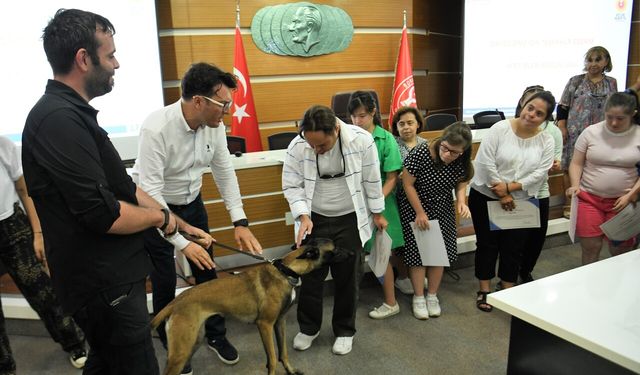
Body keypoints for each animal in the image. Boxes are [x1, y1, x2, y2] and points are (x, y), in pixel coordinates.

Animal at [150, 238, 350, 375]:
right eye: (336, 249)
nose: (353, 253)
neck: (285, 271)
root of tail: (175, 301)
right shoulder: (265, 325)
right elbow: (272, 358)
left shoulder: (280, 323)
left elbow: (283, 353)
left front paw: (290, 371)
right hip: (181, 350)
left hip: (193, 341)